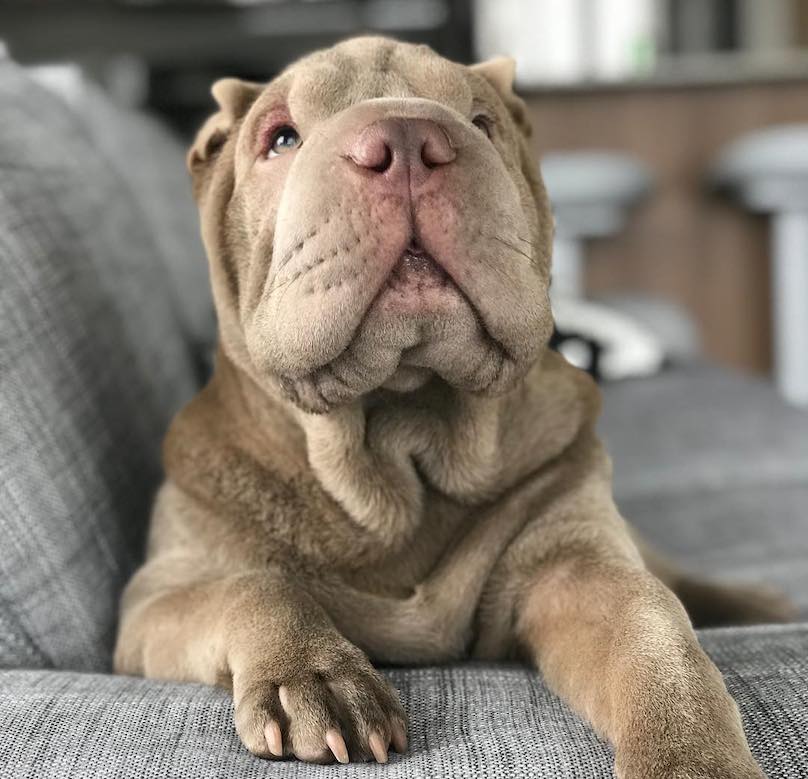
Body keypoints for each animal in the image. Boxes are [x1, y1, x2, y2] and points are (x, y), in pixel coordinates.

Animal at [113, 36, 788, 779]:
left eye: (482, 123)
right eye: (280, 138)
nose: (407, 140)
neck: (401, 435)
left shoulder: (574, 559)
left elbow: (651, 626)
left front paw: (695, 757)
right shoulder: (157, 597)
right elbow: (253, 585)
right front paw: (313, 675)